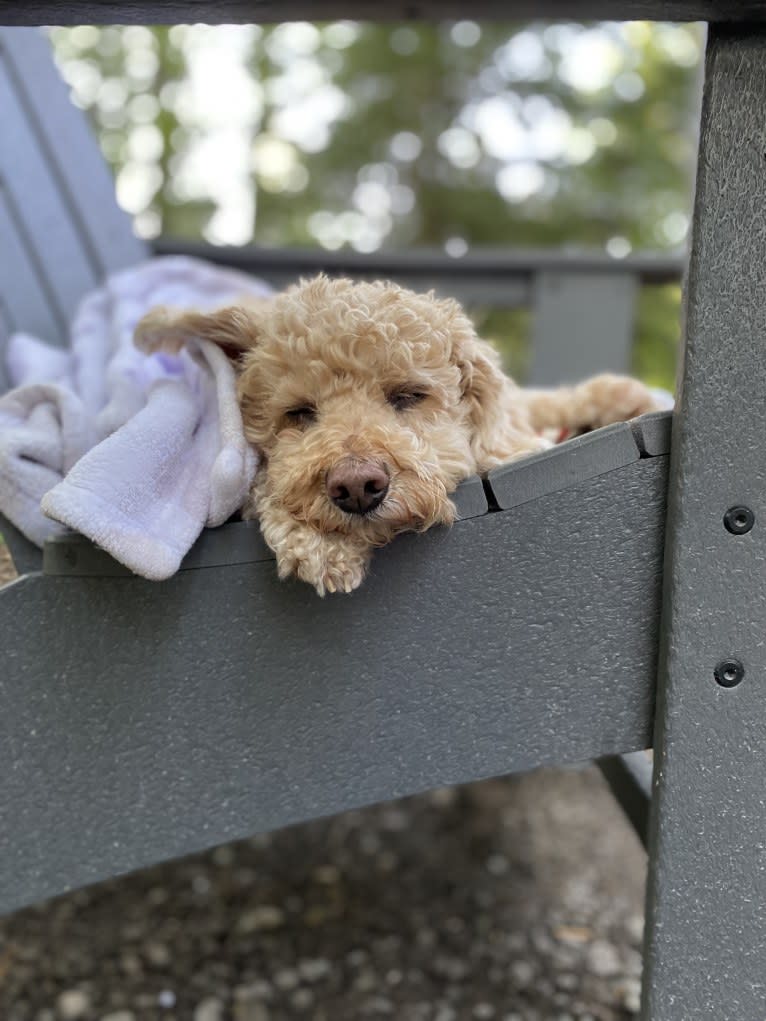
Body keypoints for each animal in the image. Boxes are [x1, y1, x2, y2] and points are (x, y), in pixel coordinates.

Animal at [133, 275, 661, 596]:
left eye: (408, 395)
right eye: (299, 412)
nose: (356, 486)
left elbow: (527, 407)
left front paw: (620, 396)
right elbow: (263, 487)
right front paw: (319, 544)